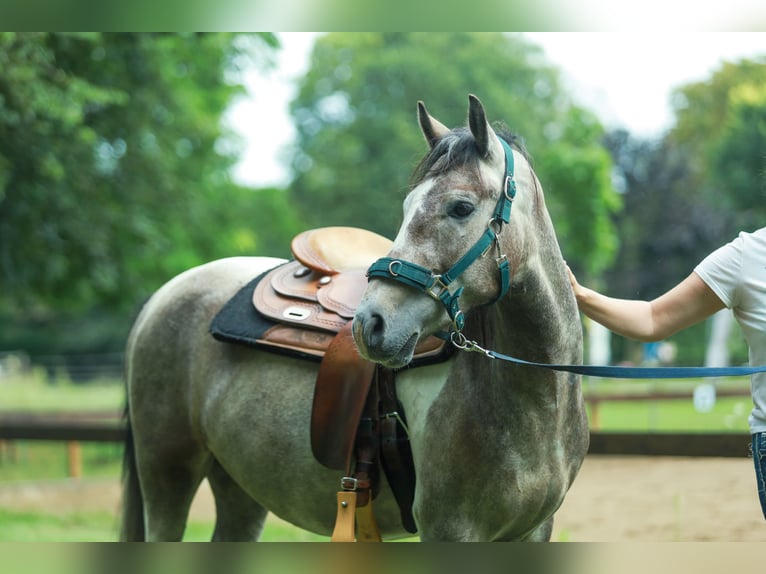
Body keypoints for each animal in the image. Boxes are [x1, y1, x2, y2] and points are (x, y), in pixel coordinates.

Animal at [120, 95, 592, 544]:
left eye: (460, 207)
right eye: (407, 205)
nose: (370, 325)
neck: (531, 402)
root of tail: (163, 294)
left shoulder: (532, 531)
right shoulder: (450, 528)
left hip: (240, 487)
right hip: (168, 476)